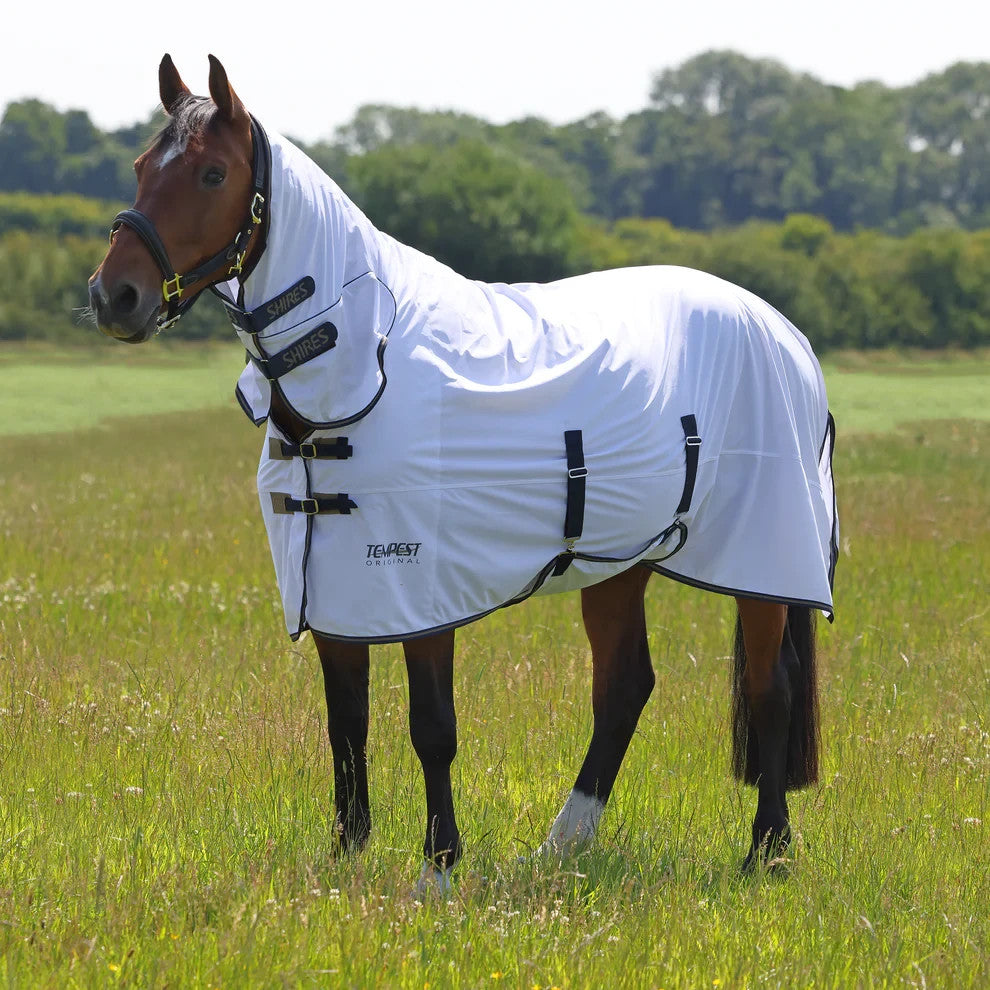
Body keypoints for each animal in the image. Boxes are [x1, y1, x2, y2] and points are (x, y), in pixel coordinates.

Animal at [87, 55, 837, 892]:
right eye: (141, 166)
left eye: (213, 173)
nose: (115, 296)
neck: (365, 364)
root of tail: (783, 331)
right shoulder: (335, 586)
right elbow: (346, 723)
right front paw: (346, 855)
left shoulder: (421, 589)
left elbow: (431, 727)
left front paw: (438, 868)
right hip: (619, 562)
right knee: (624, 687)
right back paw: (564, 844)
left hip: (764, 560)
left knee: (769, 688)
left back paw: (766, 850)